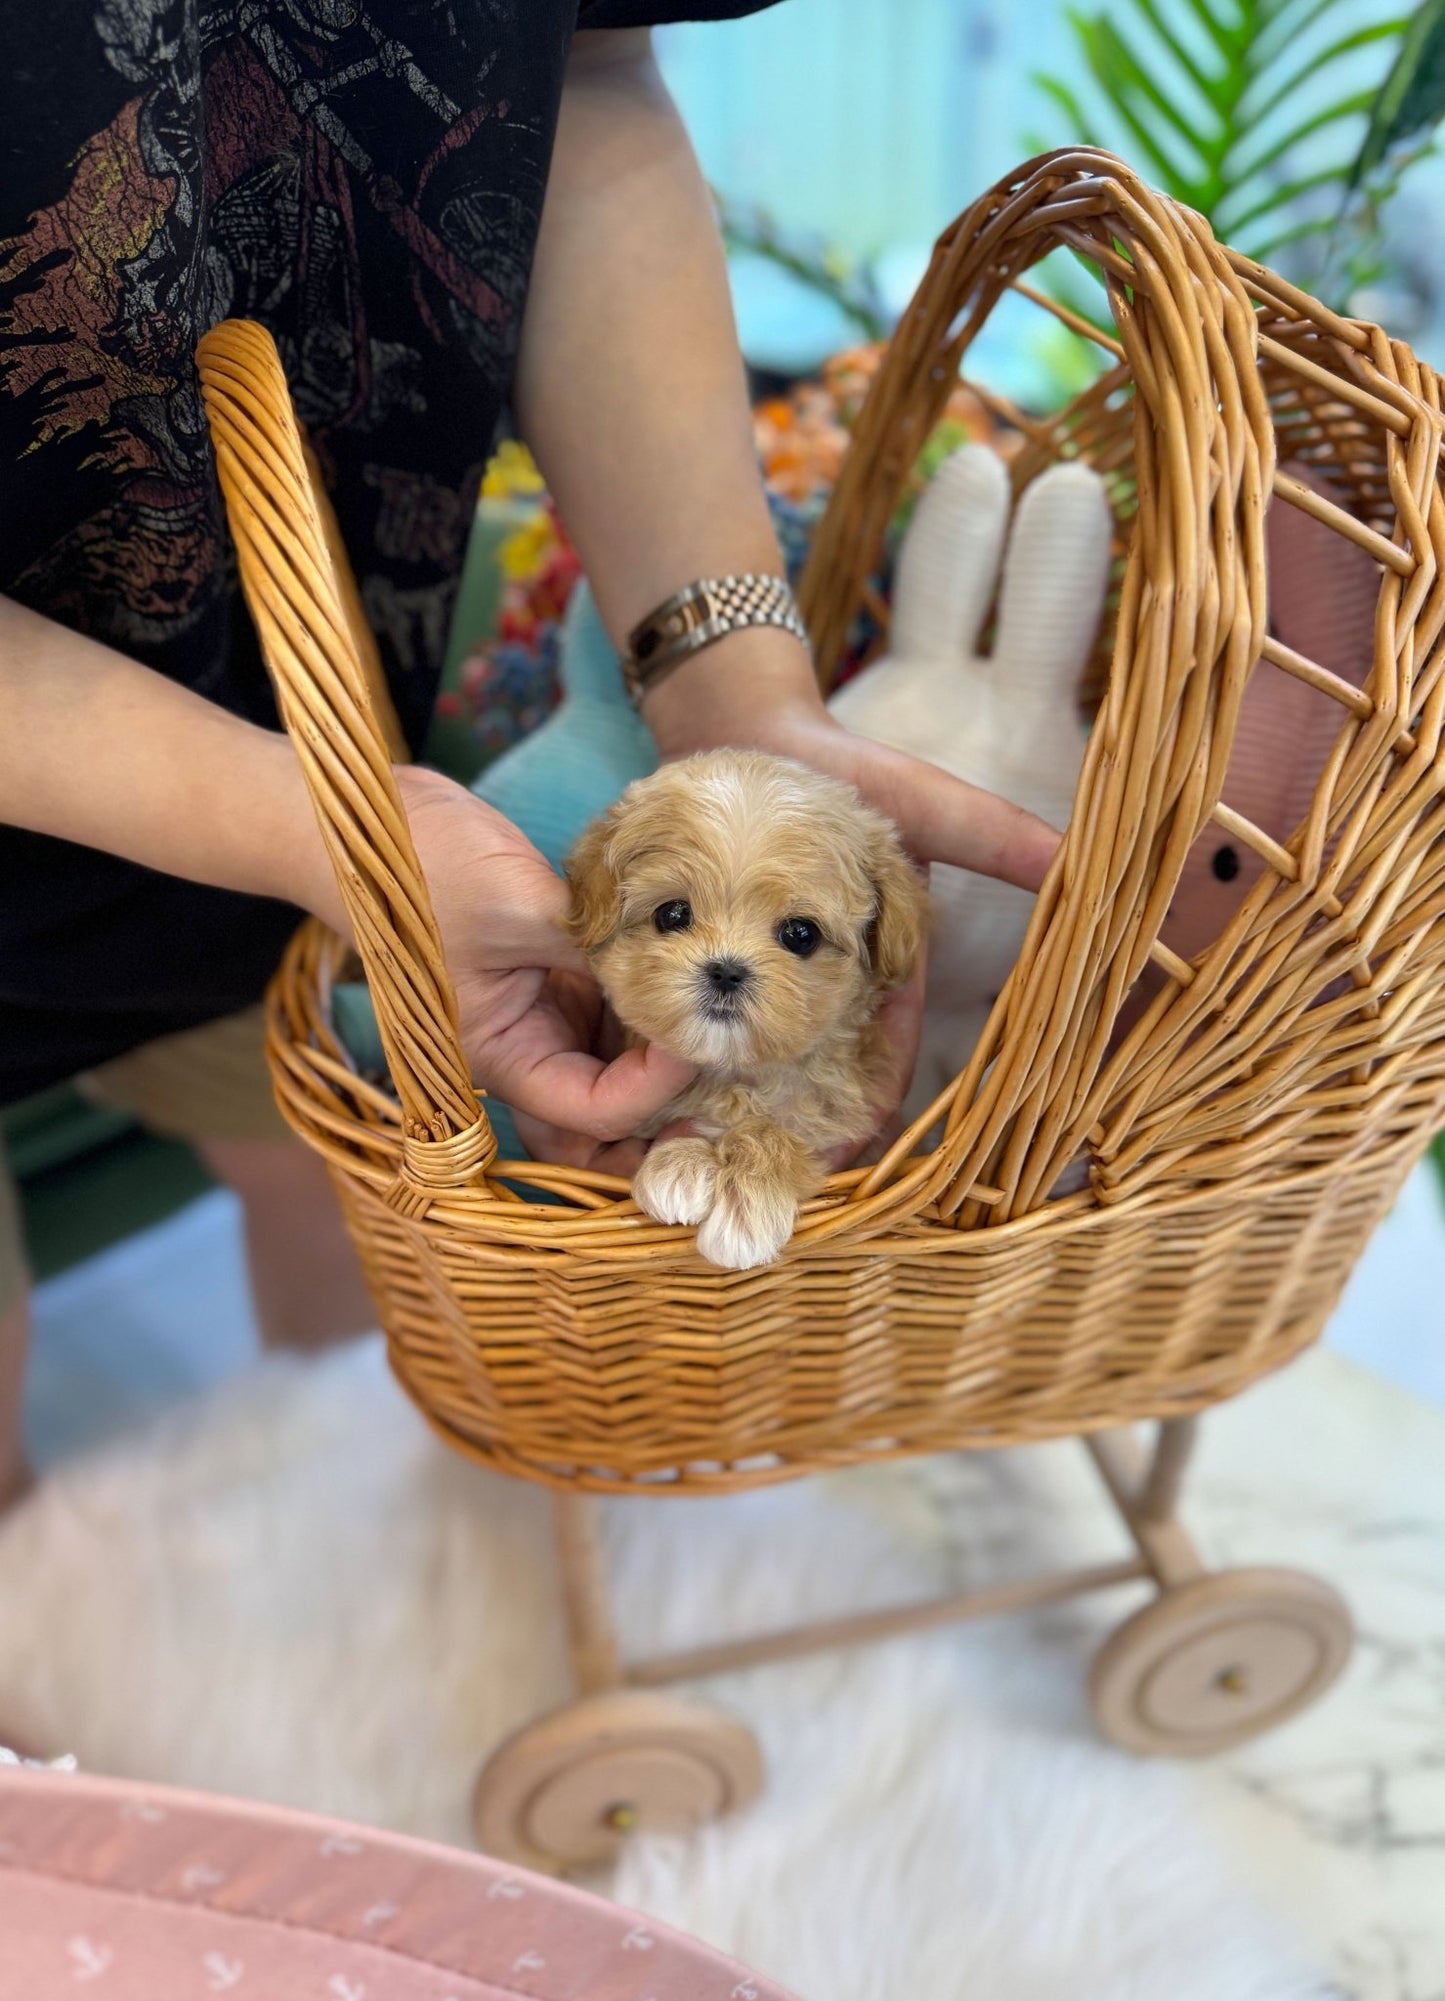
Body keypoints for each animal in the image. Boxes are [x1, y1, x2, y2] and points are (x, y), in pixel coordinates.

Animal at [564, 752, 924, 1264]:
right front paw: (681, 1164)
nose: (726, 970)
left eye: (801, 934)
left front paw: (746, 1201)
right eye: (672, 914)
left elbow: (778, 1129)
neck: (735, 1071)